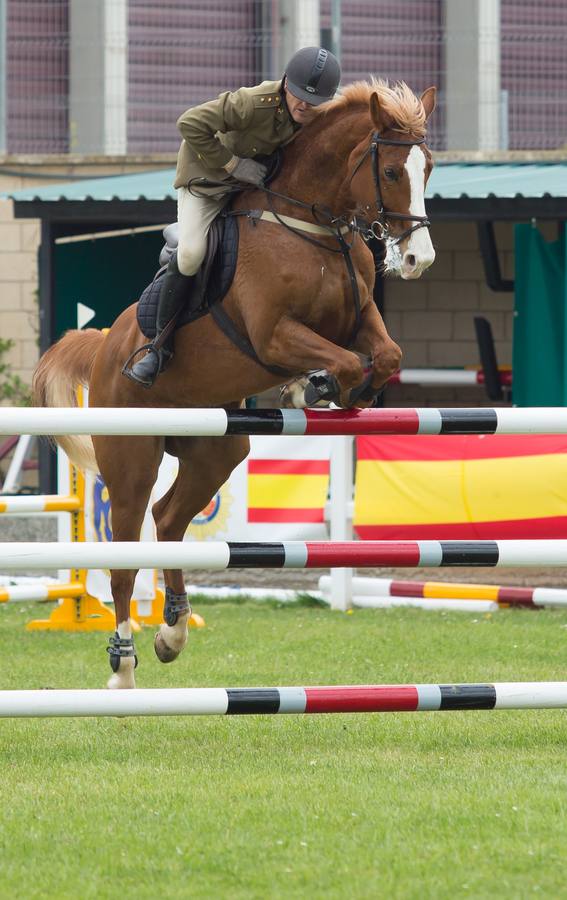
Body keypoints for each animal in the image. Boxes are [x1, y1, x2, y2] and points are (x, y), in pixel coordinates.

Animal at [33, 82, 438, 688]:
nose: (417, 260)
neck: (312, 226)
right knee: (124, 557)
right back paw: (123, 665)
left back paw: (173, 632)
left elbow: (385, 355)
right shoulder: (273, 336)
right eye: (390, 171)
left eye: (428, 167)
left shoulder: (359, 315)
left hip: (216, 450)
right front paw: (315, 387)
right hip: (130, 458)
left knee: (169, 518)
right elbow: (344, 362)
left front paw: (343, 392)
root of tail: (105, 344)